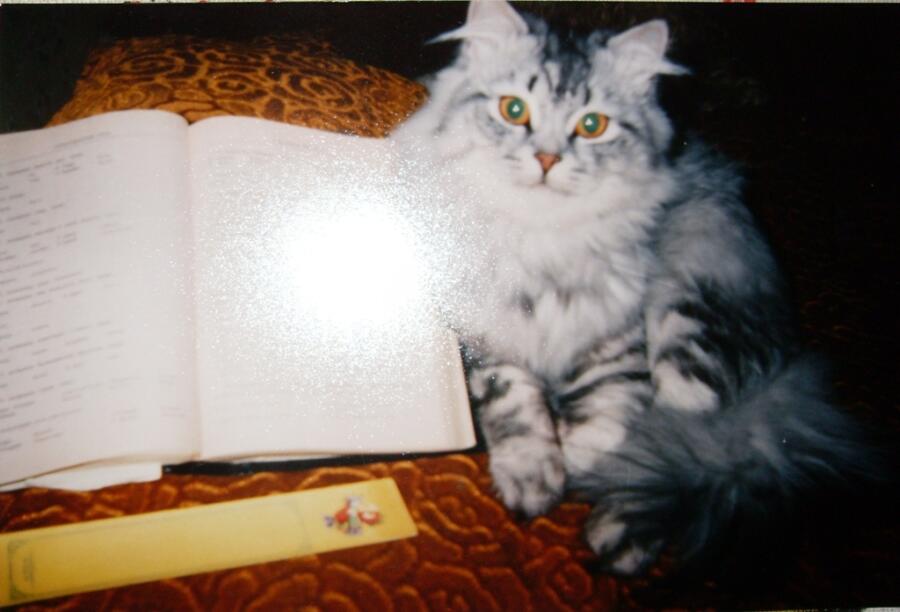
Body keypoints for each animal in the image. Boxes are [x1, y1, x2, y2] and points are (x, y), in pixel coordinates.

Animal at [391, 0, 875, 576]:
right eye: (513, 110)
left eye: (592, 125)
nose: (548, 159)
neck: (541, 241)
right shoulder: (479, 337)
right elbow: (519, 404)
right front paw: (534, 476)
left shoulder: (618, 344)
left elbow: (614, 423)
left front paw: (584, 466)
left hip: (688, 324)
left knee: (688, 444)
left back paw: (622, 534)